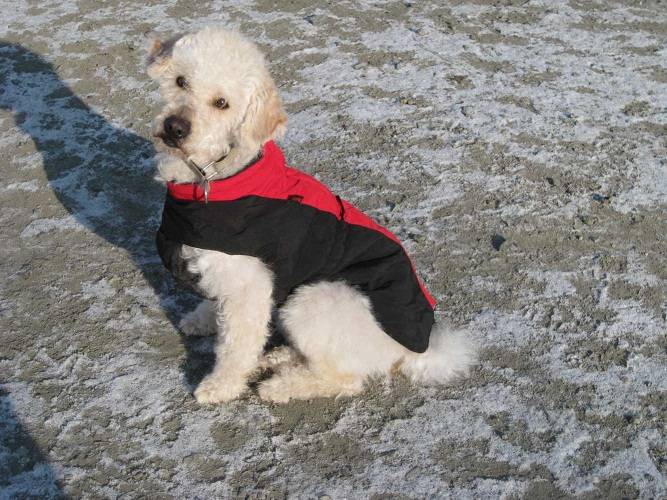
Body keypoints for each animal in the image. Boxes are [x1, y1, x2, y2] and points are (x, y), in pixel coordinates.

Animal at [147, 27, 476, 404]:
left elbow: (236, 345)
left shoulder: (248, 287)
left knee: (346, 380)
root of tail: (416, 351)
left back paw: (280, 385)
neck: (214, 174)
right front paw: (203, 319)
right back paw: (279, 358)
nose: (175, 128)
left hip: (313, 300)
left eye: (222, 103)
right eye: (180, 81)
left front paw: (221, 386)